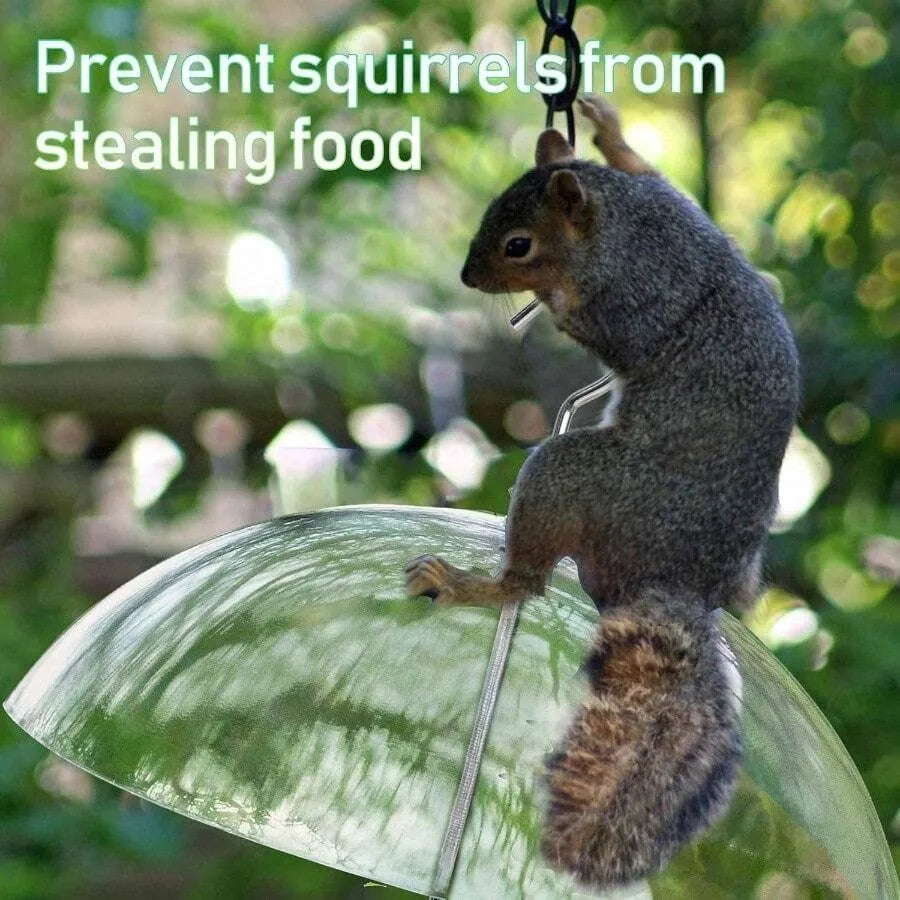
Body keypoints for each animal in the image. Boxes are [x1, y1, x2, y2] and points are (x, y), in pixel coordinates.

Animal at [405, 97, 799, 888]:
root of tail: (682, 583)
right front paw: (610, 131)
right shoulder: (677, 205)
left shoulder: (637, 301)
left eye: (518, 244)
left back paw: (471, 584)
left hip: (574, 477)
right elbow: (652, 168)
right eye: (492, 210)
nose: (467, 276)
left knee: (527, 583)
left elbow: (597, 324)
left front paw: (550, 297)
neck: (624, 226)